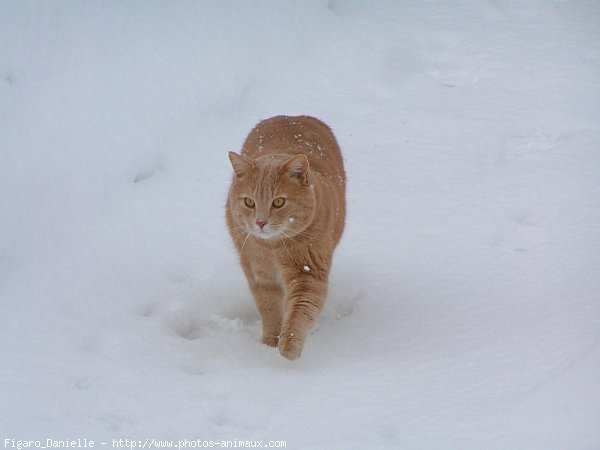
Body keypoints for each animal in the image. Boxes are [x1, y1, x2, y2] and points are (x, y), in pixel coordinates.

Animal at [225, 117, 346, 362]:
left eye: (279, 202)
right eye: (249, 202)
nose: (261, 222)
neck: (273, 248)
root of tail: (293, 116)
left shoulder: (308, 274)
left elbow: (300, 310)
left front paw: (289, 343)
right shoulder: (260, 275)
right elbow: (270, 308)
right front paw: (270, 343)